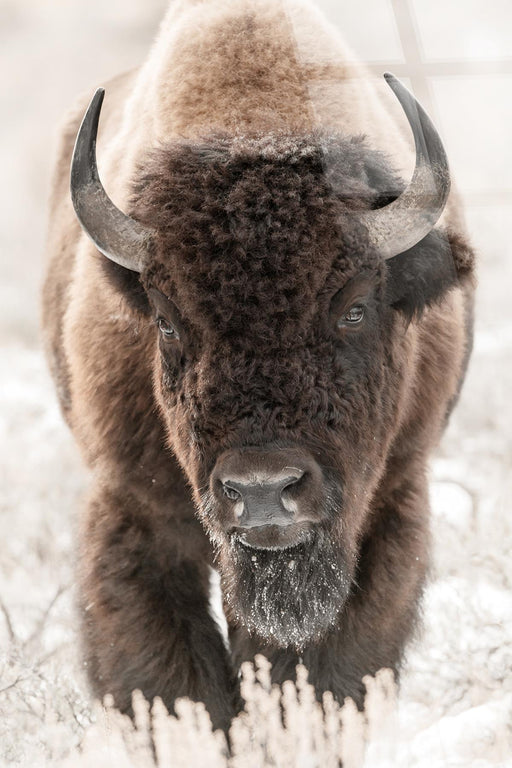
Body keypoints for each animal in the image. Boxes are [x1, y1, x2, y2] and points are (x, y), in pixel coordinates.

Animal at [42, 0, 475, 733]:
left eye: (355, 307)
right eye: (167, 321)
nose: (265, 489)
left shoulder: (390, 501)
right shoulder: (135, 510)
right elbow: (174, 678)